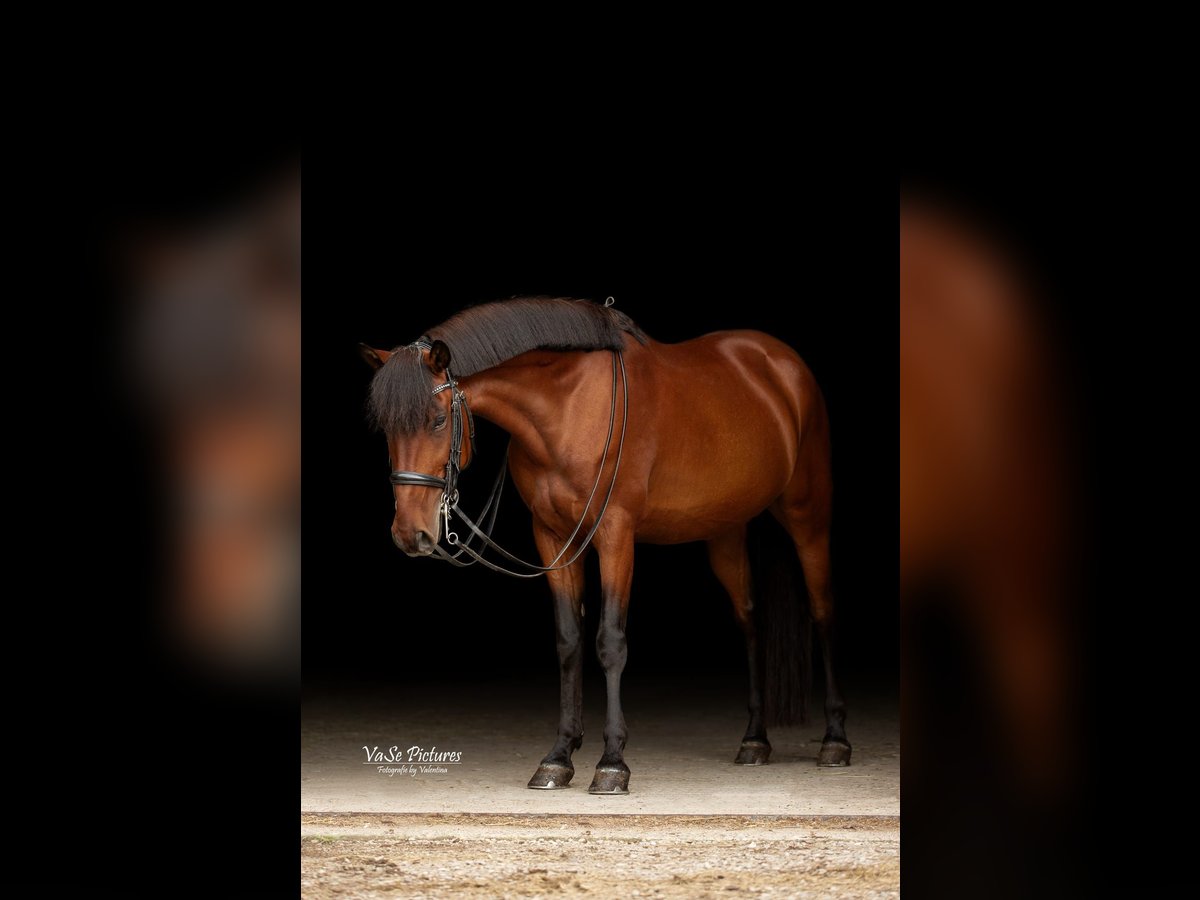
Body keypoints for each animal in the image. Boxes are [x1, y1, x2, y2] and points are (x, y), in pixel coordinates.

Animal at [360, 297, 849, 794]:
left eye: (438, 420)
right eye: (387, 429)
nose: (410, 534)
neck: (568, 408)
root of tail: (781, 364)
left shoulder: (615, 535)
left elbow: (610, 641)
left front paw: (612, 763)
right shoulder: (552, 538)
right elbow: (569, 641)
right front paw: (558, 757)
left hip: (808, 517)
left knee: (823, 612)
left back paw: (835, 740)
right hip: (726, 532)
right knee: (749, 620)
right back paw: (754, 740)